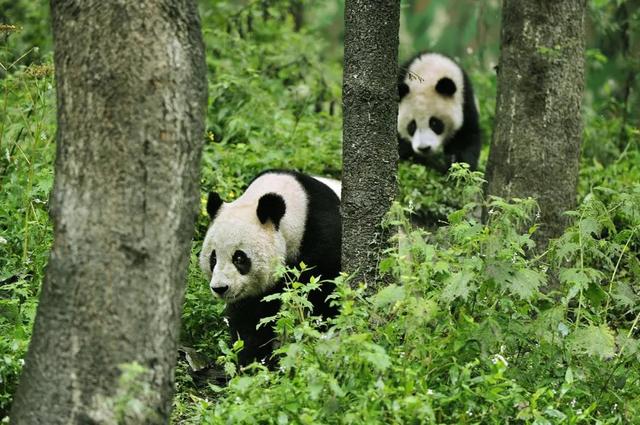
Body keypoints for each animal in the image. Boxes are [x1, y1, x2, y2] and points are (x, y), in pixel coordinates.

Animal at [200, 169, 342, 364]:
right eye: (213, 258)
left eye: (239, 257)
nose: (220, 288)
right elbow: (251, 316)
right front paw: (253, 359)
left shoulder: (323, 235)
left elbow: (325, 293)